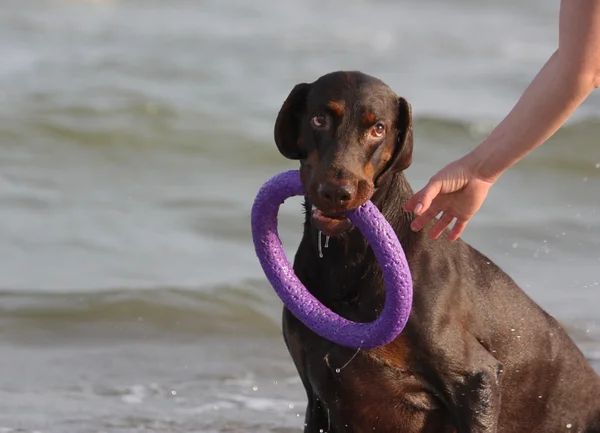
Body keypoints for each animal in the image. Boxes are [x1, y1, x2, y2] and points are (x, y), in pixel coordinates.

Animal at [274, 69, 600, 430]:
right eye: (319, 119)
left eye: (378, 129)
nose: (336, 192)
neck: (349, 256)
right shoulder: (317, 396)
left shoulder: (475, 379)